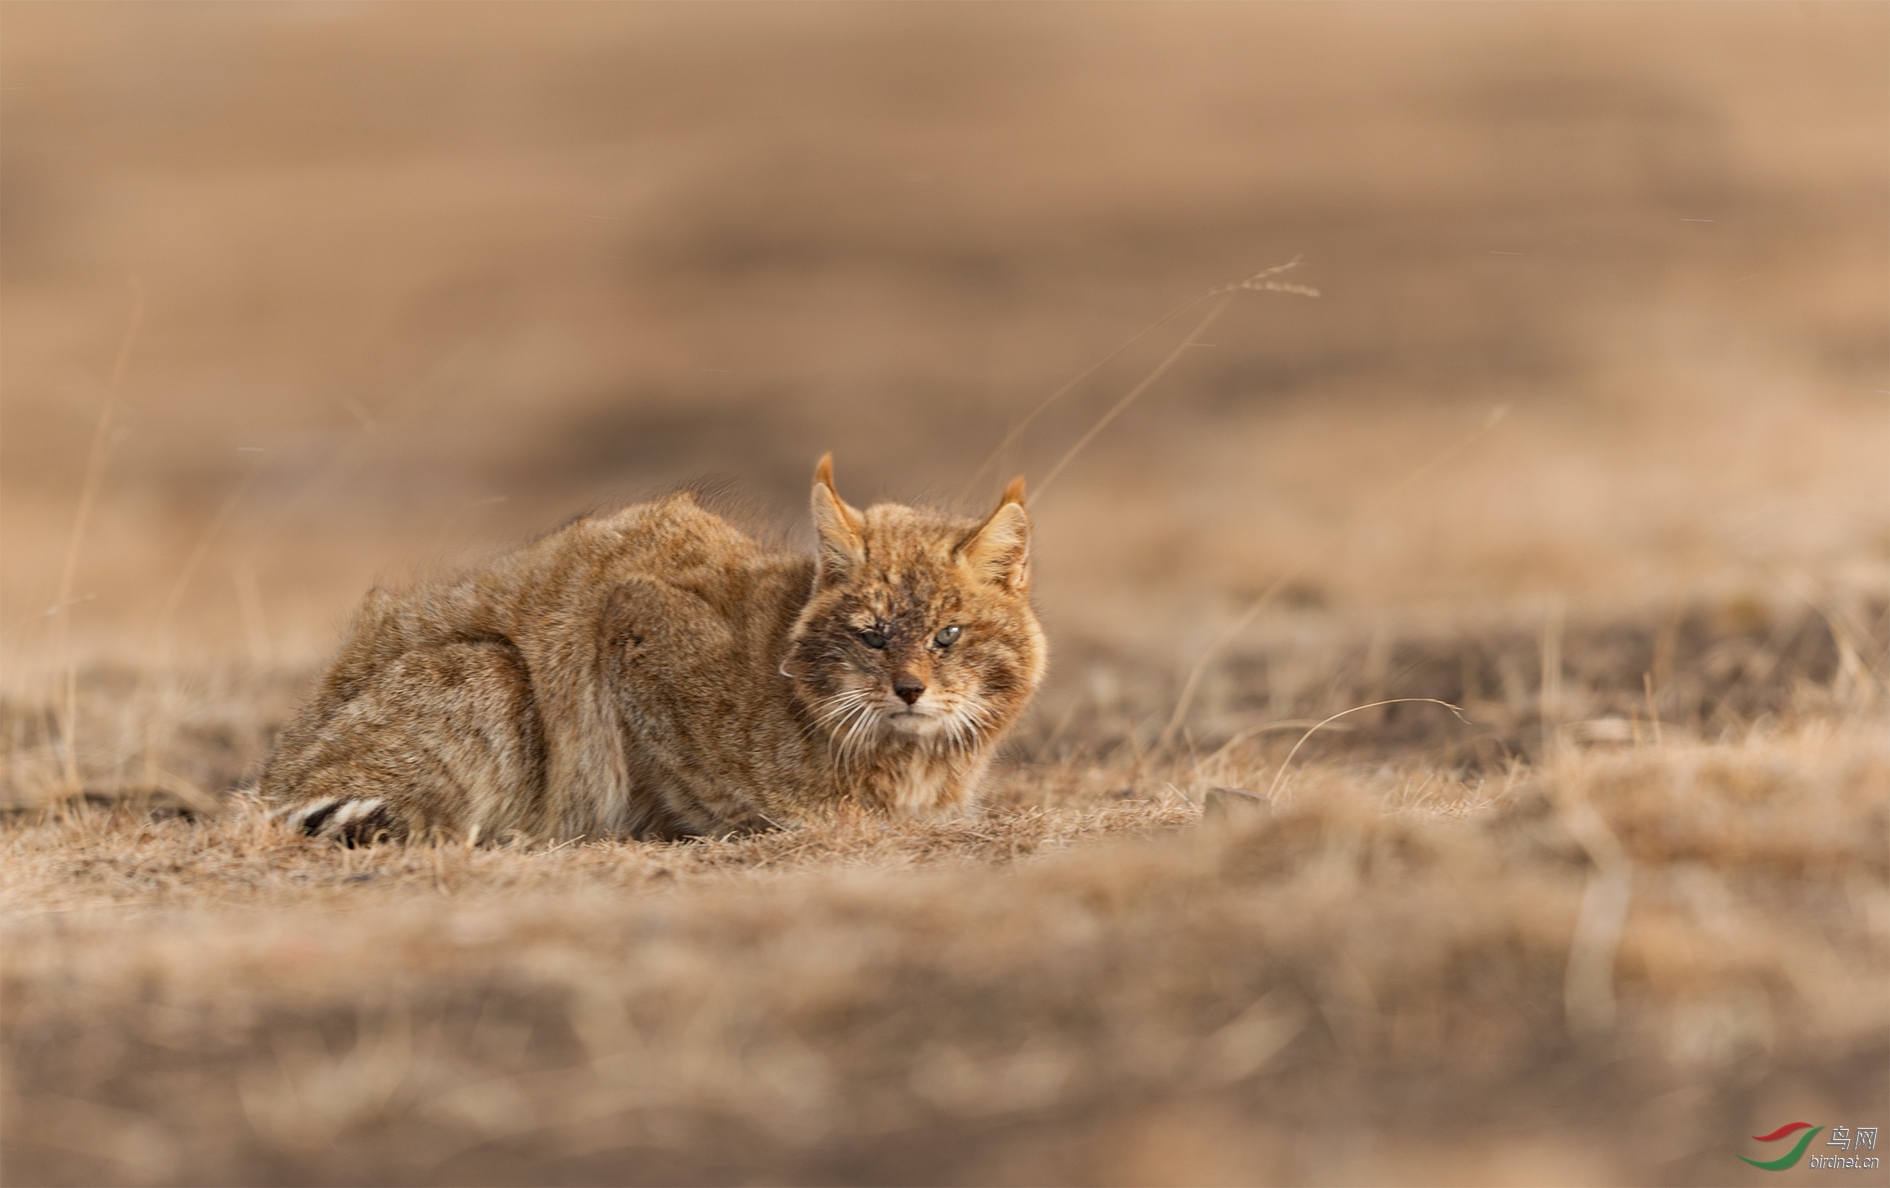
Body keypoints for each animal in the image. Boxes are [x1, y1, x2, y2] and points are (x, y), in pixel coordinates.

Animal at [258, 457, 1050, 842]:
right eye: (873, 634)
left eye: (948, 635)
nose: (910, 690)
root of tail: (284, 758)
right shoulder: (630, 616)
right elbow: (706, 788)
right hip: (494, 671)